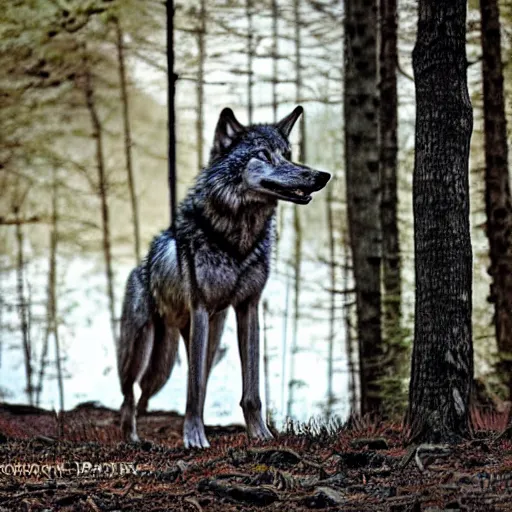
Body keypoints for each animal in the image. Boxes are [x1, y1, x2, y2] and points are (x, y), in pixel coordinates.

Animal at [117, 105, 330, 448]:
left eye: (288, 154)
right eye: (263, 155)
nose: (321, 176)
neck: (238, 239)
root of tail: (139, 268)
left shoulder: (248, 308)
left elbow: (251, 390)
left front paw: (260, 434)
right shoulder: (201, 308)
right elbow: (192, 390)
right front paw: (193, 437)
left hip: (195, 347)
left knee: (182, 382)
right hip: (141, 352)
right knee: (128, 395)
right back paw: (132, 439)